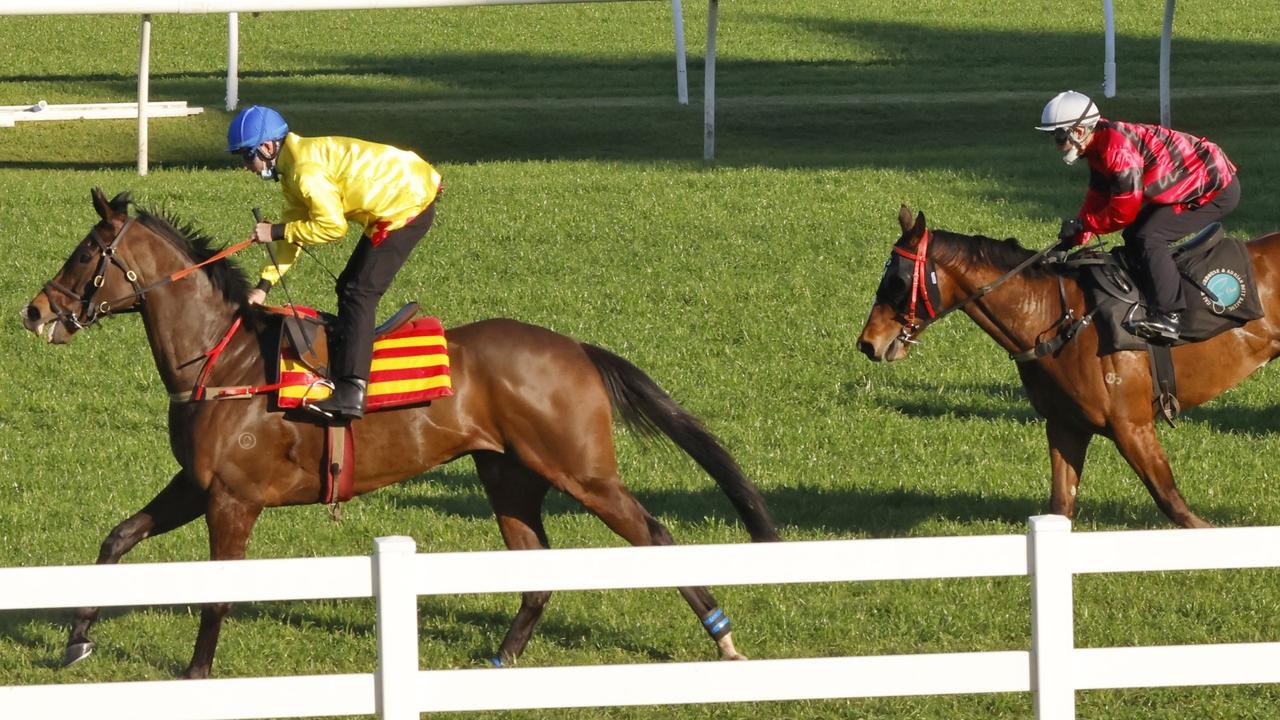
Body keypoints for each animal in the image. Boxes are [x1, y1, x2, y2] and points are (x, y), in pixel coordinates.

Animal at [20, 188, 778, 676]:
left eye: (86, 253)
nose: (34, 311)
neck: (221, 358)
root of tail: (577, 349)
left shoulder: (234, 500)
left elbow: (216, 593)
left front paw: (196, 676)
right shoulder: (197, 483)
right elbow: (117, 537)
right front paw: (76, 641)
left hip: (583, 473)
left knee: (657, 537)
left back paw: (724, 640)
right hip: (508, 477)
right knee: (537, 573)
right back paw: (502, 658)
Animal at [855, 203, 1280, 527]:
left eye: (897, 279)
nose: (867, 343)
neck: (1055, 317)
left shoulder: (1132, 426)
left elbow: (1174, 505)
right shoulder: (1065, 426)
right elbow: (1061, 504)